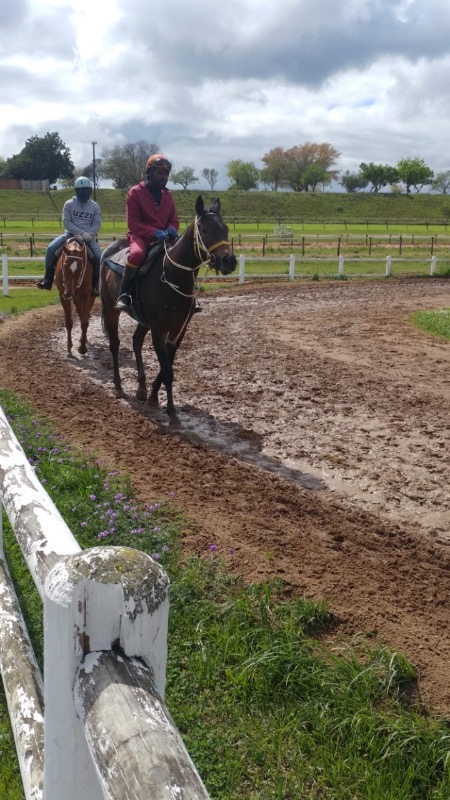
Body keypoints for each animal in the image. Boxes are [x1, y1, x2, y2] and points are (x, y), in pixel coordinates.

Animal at [100, 195, 237, 418]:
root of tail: (108, 252)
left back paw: (141, 387)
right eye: (204, 229)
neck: (171, 274)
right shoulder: (159, 329)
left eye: (225, 228)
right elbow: (167, 370)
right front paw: (171, 413)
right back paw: (119, 386)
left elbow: (167, 366)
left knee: (136, 341)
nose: (229, 261)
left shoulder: (179, 329)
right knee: (115, 344)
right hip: (111, 309)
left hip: (143, 320)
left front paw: (153, 396)